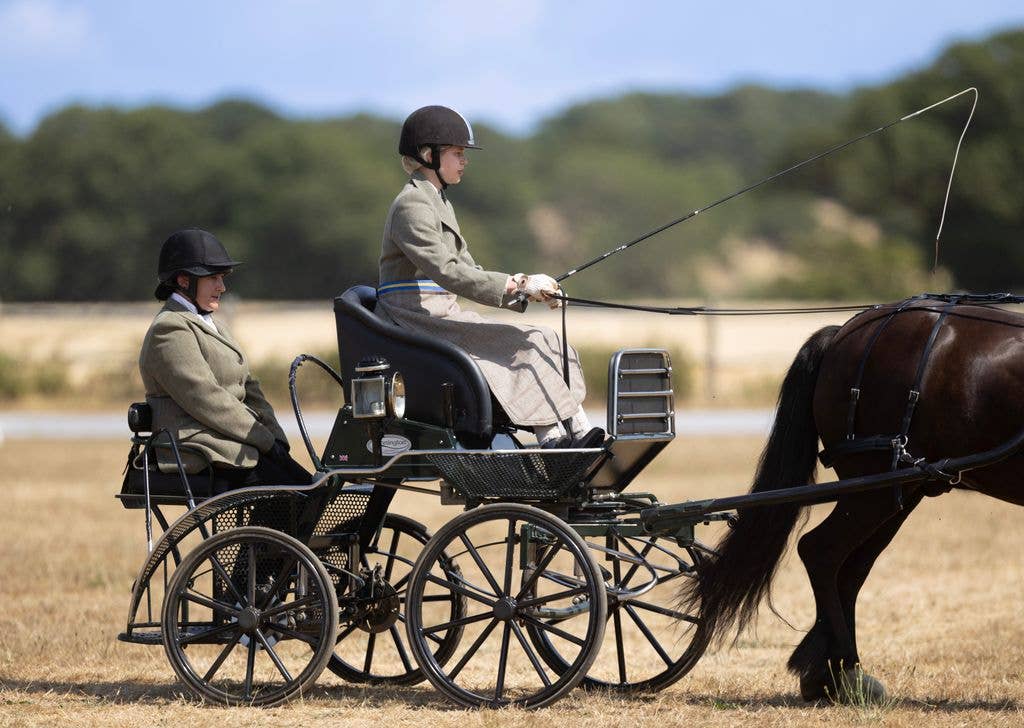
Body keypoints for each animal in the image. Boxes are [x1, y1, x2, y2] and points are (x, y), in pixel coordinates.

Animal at [679, 294, 1024, 702]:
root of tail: (844, 333)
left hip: (894, 492)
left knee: (850, 566)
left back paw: (828, 672)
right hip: (873, 490)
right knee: (822, 551)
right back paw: (844, 665)